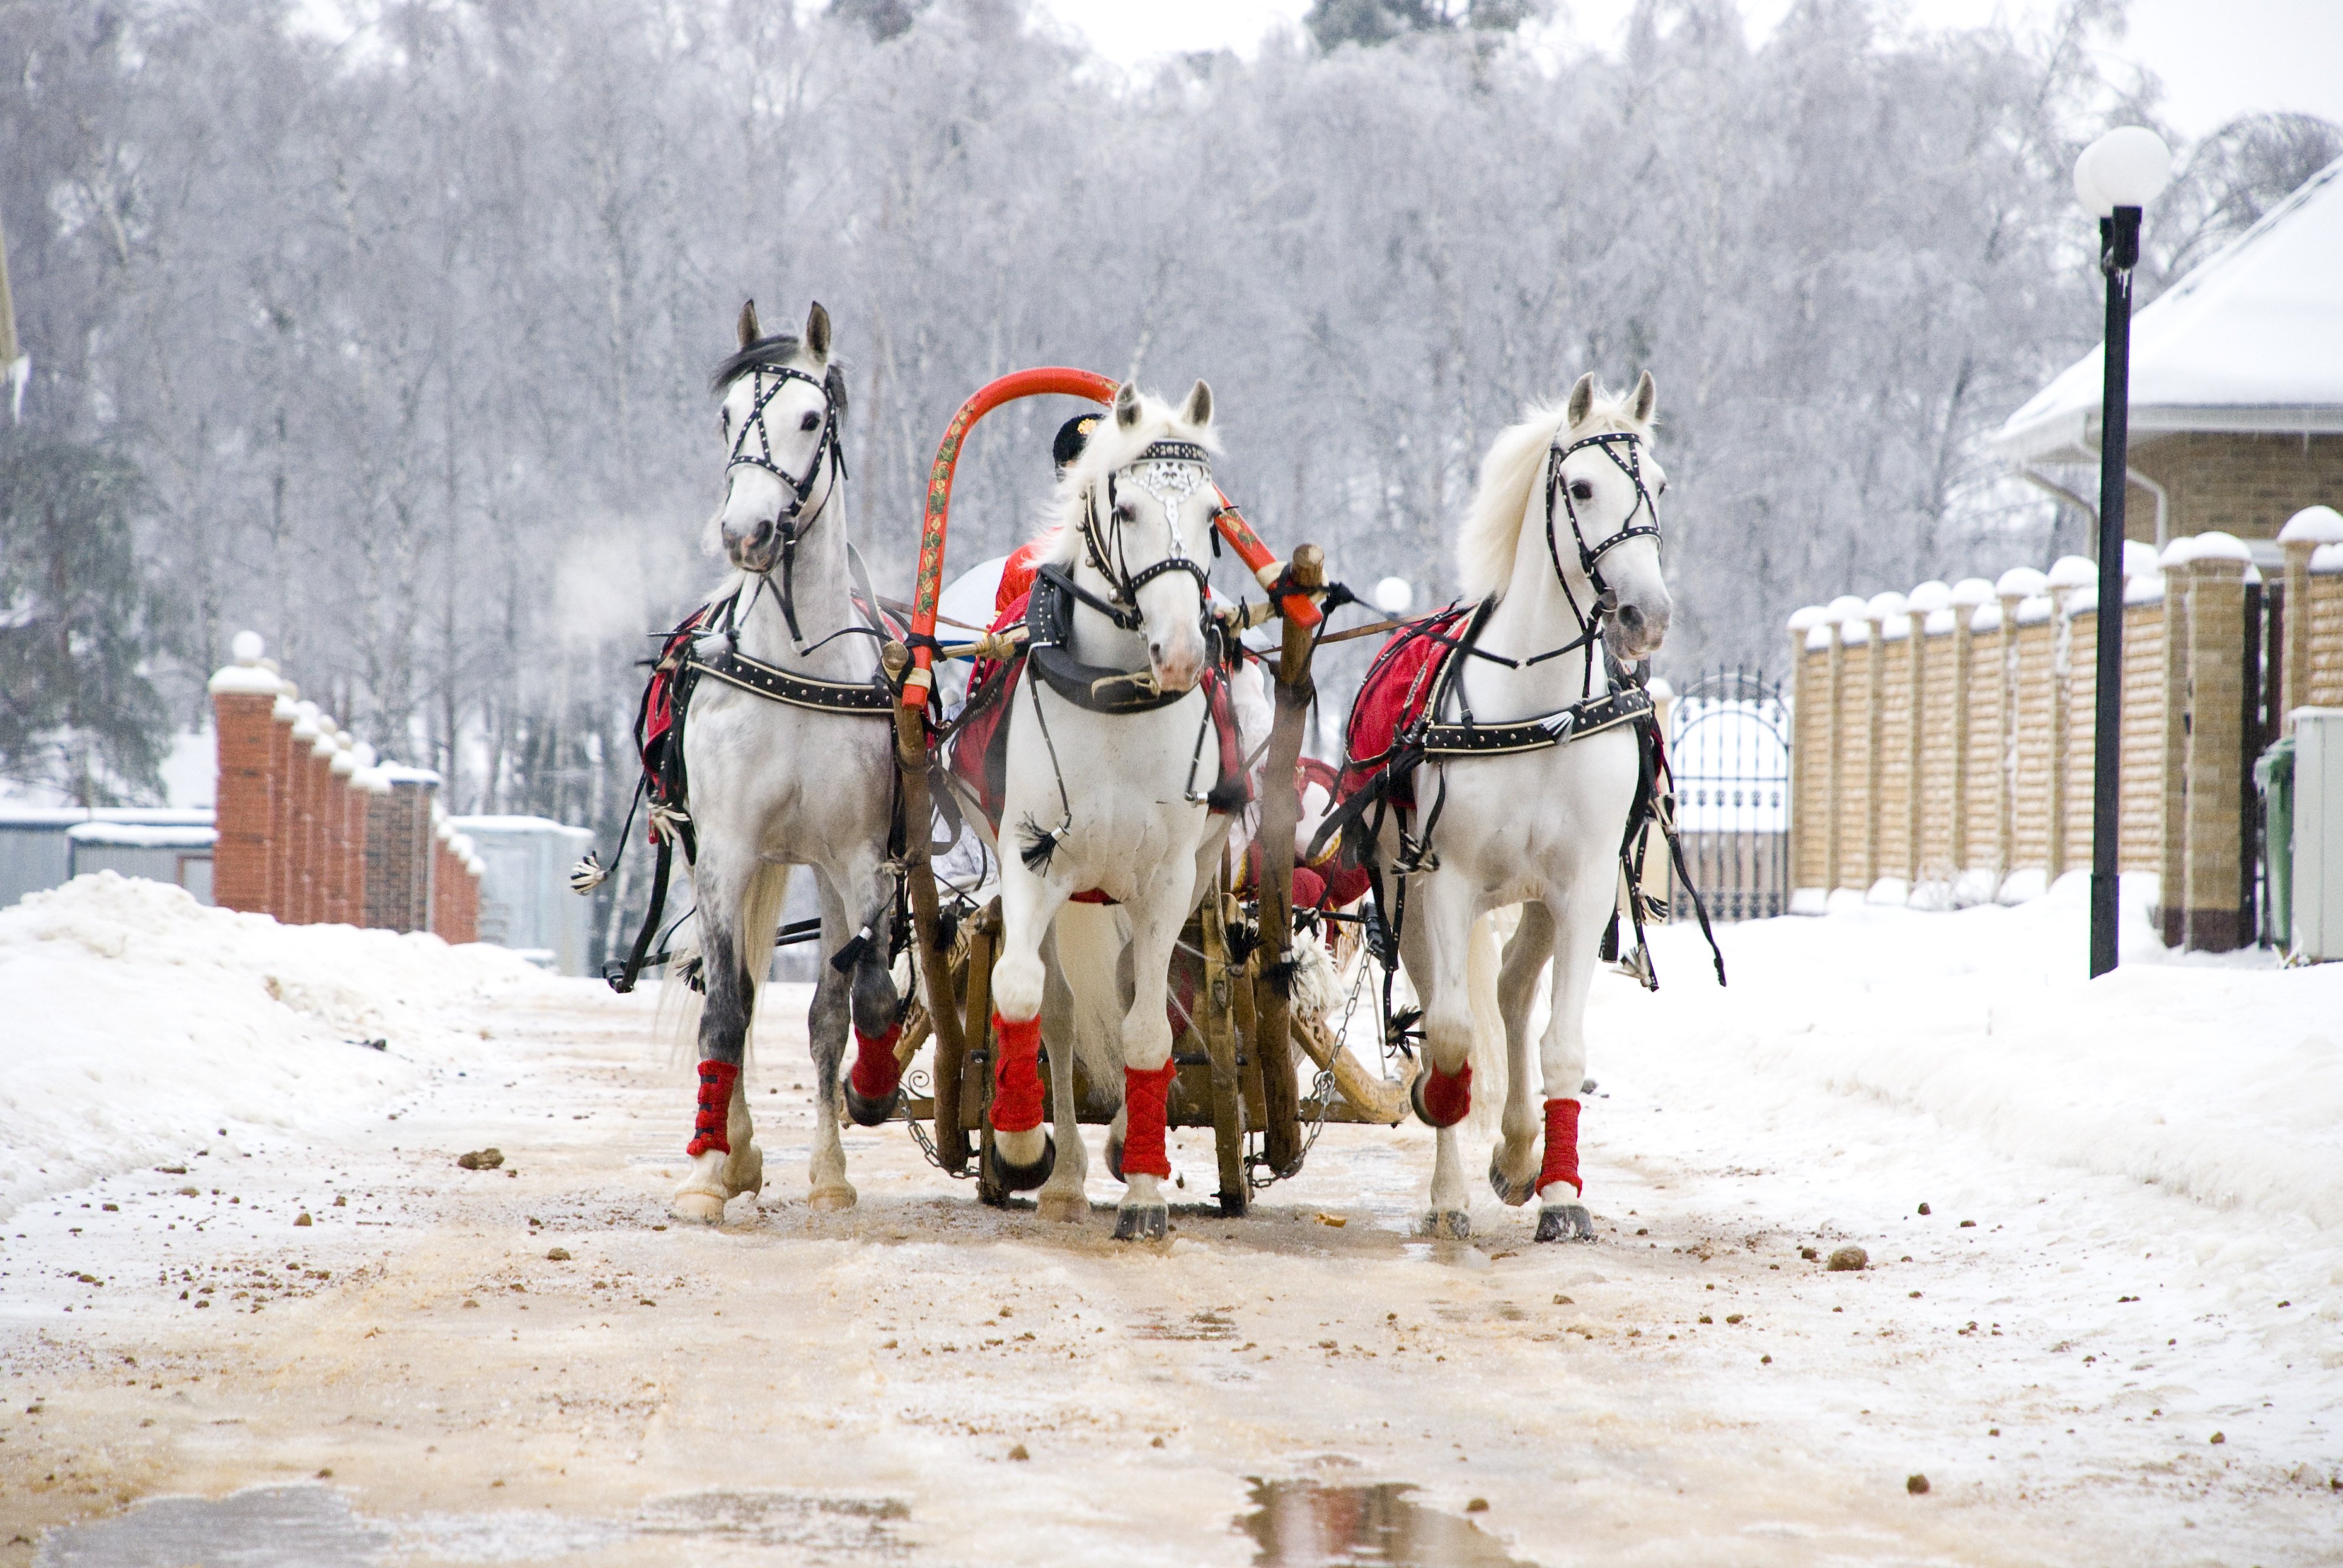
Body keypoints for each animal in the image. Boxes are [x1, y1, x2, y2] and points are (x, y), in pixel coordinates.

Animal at [670, 296, 914, 1218]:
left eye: (811, 418)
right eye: (726, 417)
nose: (746, 532)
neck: (797, 664)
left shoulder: (859, 857)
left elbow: (854, 1005)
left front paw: (845, 1147)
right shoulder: (726, 850)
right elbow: (726, 1010)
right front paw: (708, 1172)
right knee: (730, 987)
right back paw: (730, 1148)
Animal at [988, 374, 1246, 1237]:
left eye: (1213, 518)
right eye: (1126, 510)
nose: (1182, 654)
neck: (1112, 697)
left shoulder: (1168, 878)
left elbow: (1146, 1031)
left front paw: (1141, 1189)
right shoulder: (1030, 859)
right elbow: (1019, 990)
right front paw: (1022, 1145)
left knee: (1142, 991)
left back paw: (1122, 1148)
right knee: (1059, 1010)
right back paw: (1063, 1173)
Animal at [1349, 373, 1677, 1237]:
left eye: (1661, 484)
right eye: (1581, 486)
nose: (1646, 616)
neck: (1539, 709)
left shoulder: (1582, 885)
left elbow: (1560, 1044)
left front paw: (1556, 1189)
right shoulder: (1446, 880)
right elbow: (1449, 1037)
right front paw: (1446, 1170)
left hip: (1533, 897)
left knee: (1510, 990)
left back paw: (1520, 1147)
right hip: (1404, 889)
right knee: (1450, 1003)